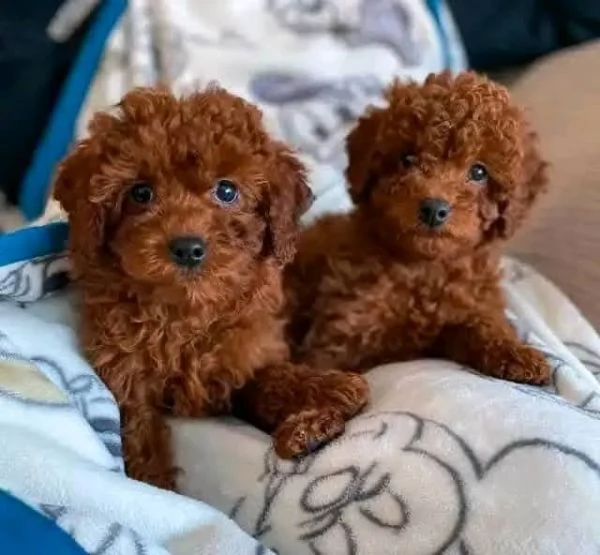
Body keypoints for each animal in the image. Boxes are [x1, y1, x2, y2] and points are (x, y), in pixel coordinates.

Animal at [54, 84, 368, 488]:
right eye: (140, 193)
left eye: (227, 191)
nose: (188, 248)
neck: (185, 311)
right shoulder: (126, 378)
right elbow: (139, 434)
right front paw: (155, 486)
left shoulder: (247, 357)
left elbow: (272, 378)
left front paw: (328, 395)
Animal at [288, 70, 552, 386]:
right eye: (407, 159)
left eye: (479, 172)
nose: (433, 209)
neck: (424, 269)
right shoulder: (342, 328)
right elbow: (323, 363)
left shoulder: (467, 304)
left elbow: (482, 323)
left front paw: (515, 352)